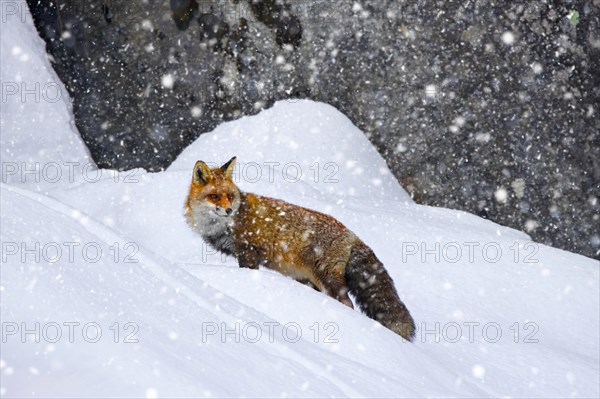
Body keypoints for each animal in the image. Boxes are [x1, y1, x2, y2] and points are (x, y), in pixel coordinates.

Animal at [185, 156, 414, 340]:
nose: (228, 210)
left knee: (347, 305)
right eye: (215, 196)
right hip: (309, 280)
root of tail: (351, 233)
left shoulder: (248, 252)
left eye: (230, 196)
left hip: (325, 279)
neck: (225, 225)